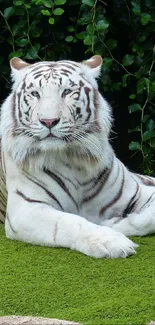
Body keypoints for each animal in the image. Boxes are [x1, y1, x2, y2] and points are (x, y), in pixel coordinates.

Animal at [0, 55, 154, 258]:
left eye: (67, 92)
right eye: (35, 94)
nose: (48, 121)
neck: (72, 159)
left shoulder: (141, 191)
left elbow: (149, 218)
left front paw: (116, 223)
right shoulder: (26, 209)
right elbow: (70, 222)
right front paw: (112, 241)